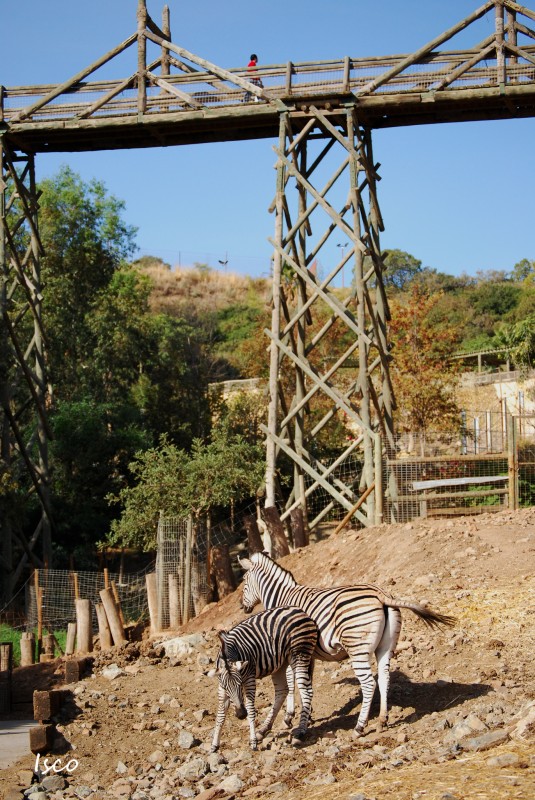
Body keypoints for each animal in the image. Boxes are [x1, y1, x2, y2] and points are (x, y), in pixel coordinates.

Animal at [209, 608, 318, 752]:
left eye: (240, 685)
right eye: (227, 688)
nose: (241, 715)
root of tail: (301, 611)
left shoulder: (249, 679)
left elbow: (250, 709)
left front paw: (253, 741)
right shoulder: (221, 686)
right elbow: (220, 714)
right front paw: (214, 745)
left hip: (299, 654)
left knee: (307, 692)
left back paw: (300, 732)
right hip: (281, 664)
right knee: (282, 691)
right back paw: (264, 729)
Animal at [240, 552, 456, 736]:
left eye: (243, 582)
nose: (243, 607)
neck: (283, 596)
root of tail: (380, 594)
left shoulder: (289, 650)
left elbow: (292, 683)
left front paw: (289, 717)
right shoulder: (308, 654)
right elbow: (306, 684)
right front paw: (306, 715)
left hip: (357, 647)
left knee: (368, 683)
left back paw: (359, 727)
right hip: (385, 647)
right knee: (384, 678)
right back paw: (382, 720)